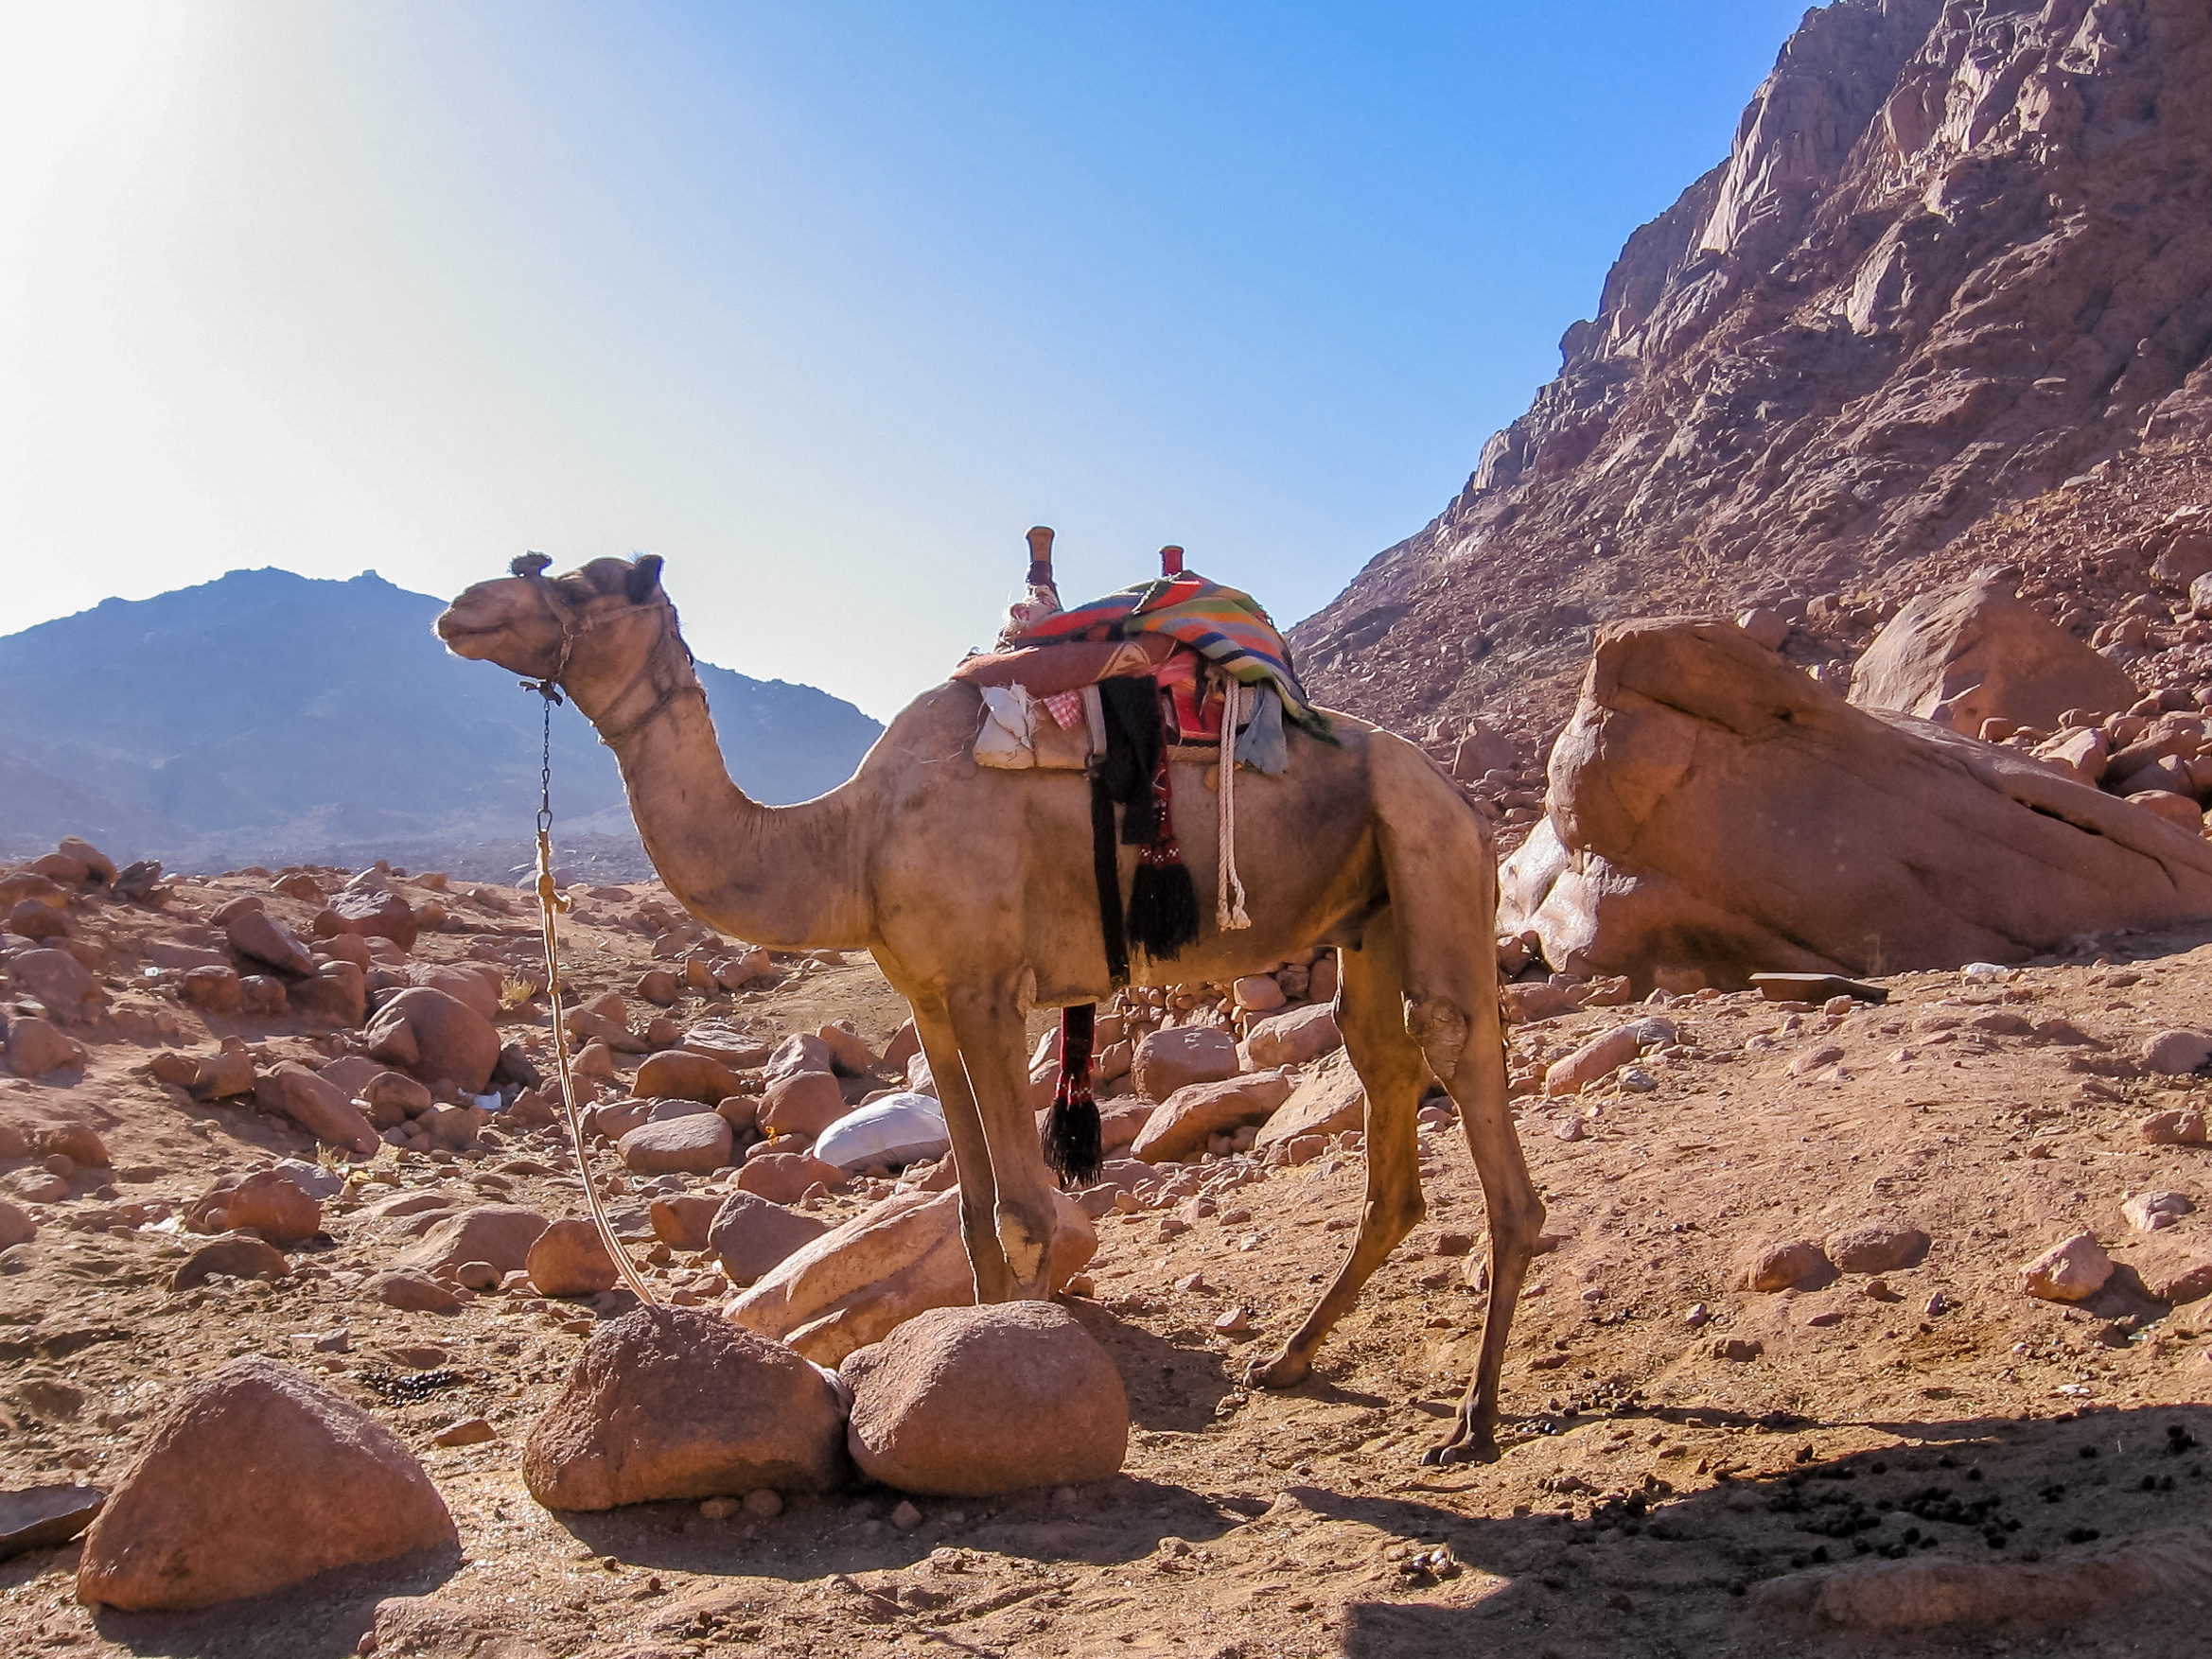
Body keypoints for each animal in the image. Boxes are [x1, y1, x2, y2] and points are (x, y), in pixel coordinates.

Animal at [427, 552, 1539, 1459]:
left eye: (593, 582)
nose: (462, 607)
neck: (849, 841)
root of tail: (1456, 790)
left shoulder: (992, 991)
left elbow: (1029, 1211)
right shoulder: (928, 996)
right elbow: (968, 1212)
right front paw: (967, 1370)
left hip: (1425, 842)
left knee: (1454, 1041)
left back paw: (1475, 1417)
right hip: (1369, 910)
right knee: (1381, 1065)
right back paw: (1291, 1357)